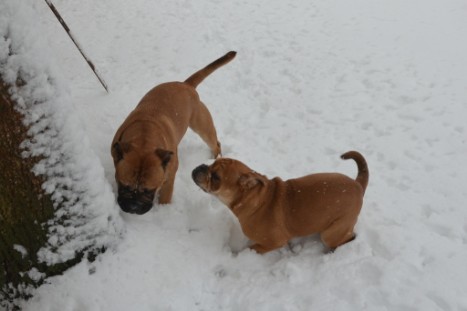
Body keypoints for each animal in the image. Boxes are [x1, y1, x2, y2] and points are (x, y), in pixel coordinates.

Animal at [112, 51, 238, 217]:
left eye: (149, 191)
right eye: (123, 185)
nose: (134, 207)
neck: (144, 137)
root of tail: (186, 85)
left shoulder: (169, 178)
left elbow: (165, 196)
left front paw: (164, 210)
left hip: (203, 127)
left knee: (215, 143)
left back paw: (214, 157)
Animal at [193, 152, 370, 255]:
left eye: (216, 177)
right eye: (210, 164)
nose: (200, 167)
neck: (253, 199)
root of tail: (358, 185)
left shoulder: (273, 242)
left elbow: (252, 248)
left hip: (331, 233)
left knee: (348, 238)